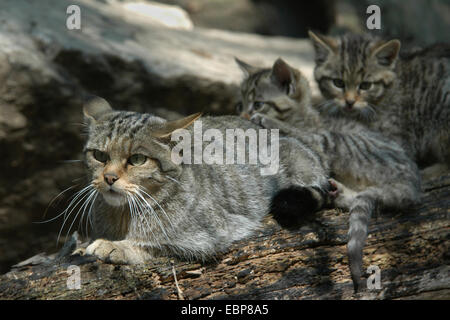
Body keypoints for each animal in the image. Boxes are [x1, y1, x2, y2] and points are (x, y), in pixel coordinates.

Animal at [76, 96, 330, 264]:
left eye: (137, 159)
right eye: (99, 156)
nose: (109, 177)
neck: (122, 214)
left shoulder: (205, 238)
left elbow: (152, 243)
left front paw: (114, 246)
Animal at [236, 57, 422, 290]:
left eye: (258, 103)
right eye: (239, 104)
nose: (242, 114)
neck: (302, 116)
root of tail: (413, 179)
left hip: (340, 141)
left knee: (316, 140)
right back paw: (339, 192)